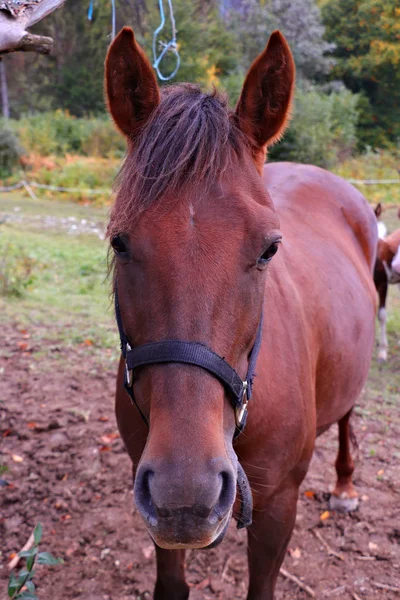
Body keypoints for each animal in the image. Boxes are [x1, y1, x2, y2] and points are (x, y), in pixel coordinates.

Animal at [104, 25, 376, 596]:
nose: (186, 494)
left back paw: (344, 484)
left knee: (347, 415)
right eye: (120, 242)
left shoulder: (278, 507)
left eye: (270, 248)